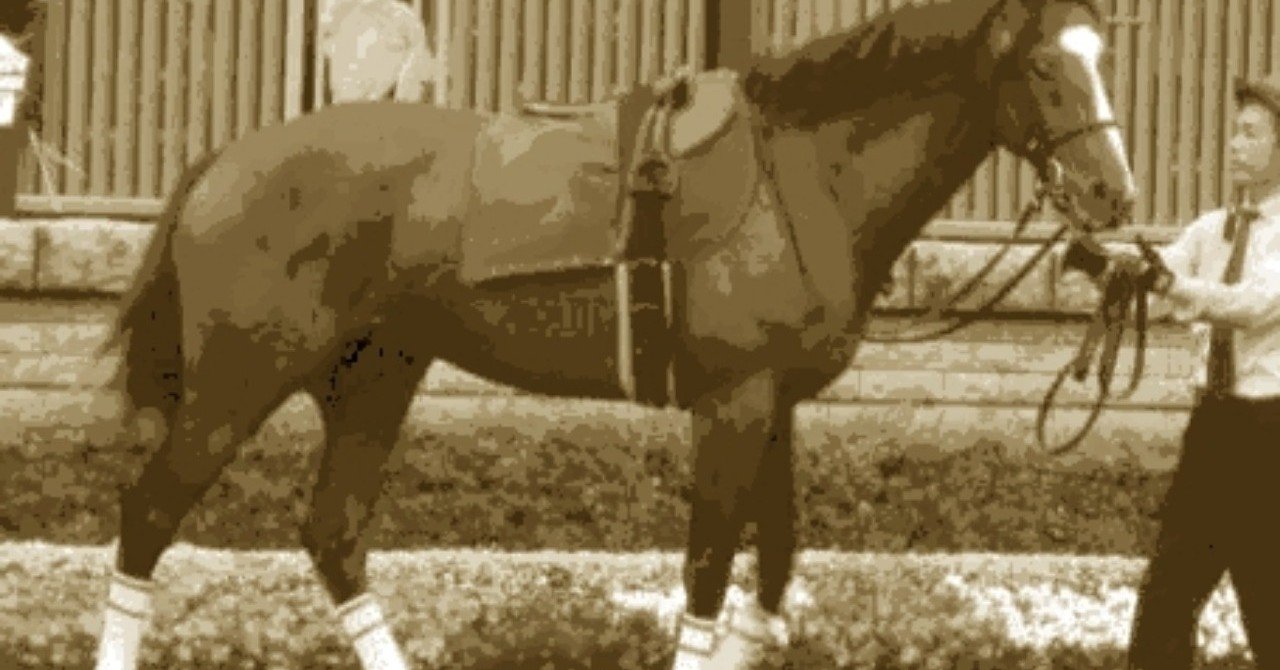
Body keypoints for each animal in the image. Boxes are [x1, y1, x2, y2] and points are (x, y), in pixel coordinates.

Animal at [90, 0, 1135, 668]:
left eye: (1101, 57)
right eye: (1044, 64)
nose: (1113, 197)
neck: (800, 169)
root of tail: (224, 159)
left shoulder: (775, 406)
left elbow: (770, 572)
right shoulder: (733, 405)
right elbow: (710, 572)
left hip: (376, 375)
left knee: (333, 533)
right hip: (242, 380)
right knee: (149, 517)